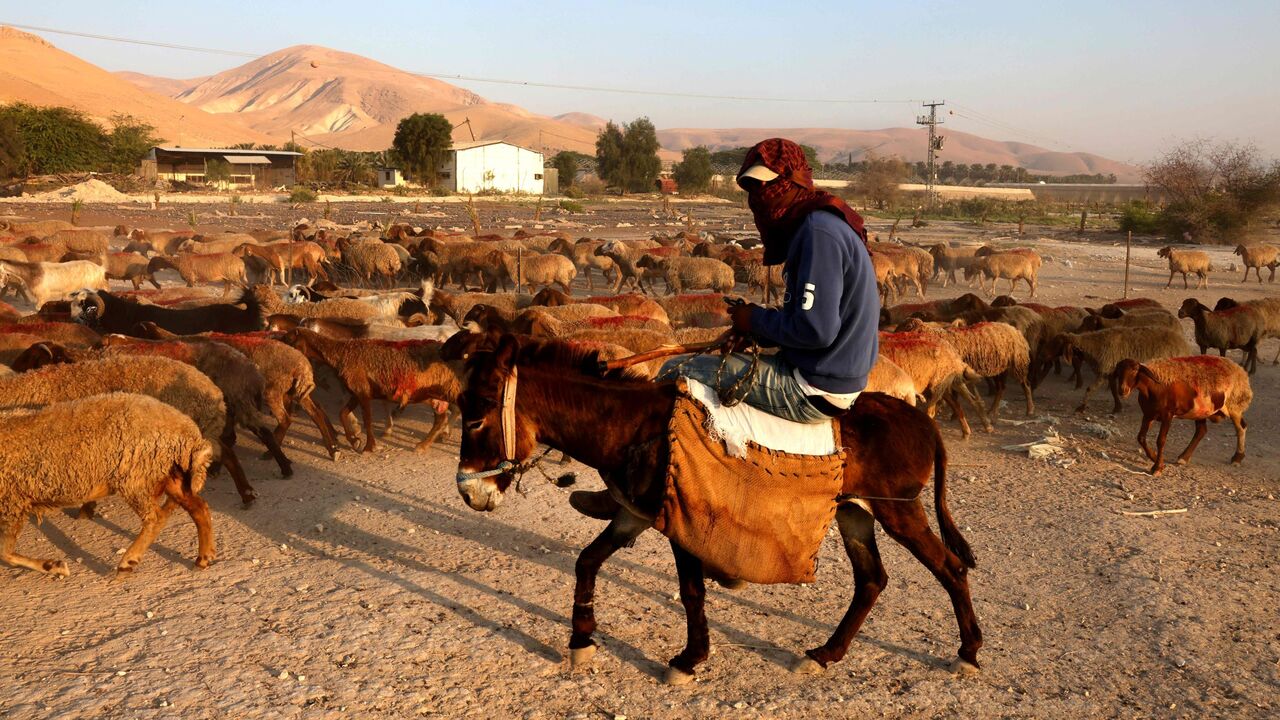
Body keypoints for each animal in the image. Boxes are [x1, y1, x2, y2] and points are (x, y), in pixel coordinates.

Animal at [0, 389, 215, 573]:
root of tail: (190, 434)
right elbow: (5, 552)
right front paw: (52, 566)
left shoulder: (12, 503)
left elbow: (4, 552)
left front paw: (55, 566)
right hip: (169, 474)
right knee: (199, 507)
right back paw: (204, 558)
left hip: (136, 477)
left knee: (156, 518)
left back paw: (128, 562)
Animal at [282, 330, 463, 450]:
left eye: (288, 339)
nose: (286, 359)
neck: (340, 354)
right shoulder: (356, 392)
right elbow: (342, 414)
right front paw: (354, 440)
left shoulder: (363, 392)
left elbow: (367, 419)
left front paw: (369, 447)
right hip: (434, 396)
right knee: (440, 418)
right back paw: (423, 445)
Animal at [1039, 324, 1187, 409]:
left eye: (1057, 343)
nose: (1042, 354)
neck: (1094, 345)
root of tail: (1183, 343)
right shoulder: (1110, 372)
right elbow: (1113, 391)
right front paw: (1117, 407)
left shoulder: (1104, 371)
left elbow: (1089, 389)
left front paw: (1082, 406)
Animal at [1116, 353, 1254, 476]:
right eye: (1118, 371)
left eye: (1135, 370)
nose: (1122, 390)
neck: (1153, 387)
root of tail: (1238, 368)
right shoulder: (1148, 414)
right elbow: (1141, 437)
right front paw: (1155, 458)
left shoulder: (1167, 415)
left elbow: (1161, 440)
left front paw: (1157, 467)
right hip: (1201, 411)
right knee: (1201, 431)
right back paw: (1184, 457)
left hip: (1234, 405)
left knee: (1241, 428)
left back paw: (1237, 458)